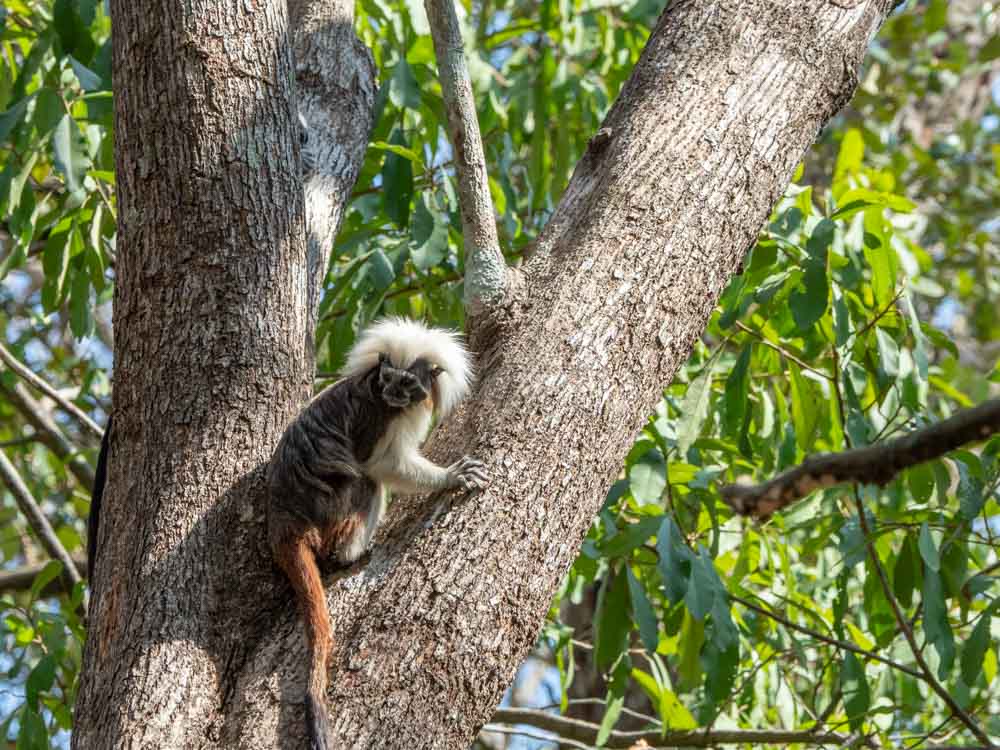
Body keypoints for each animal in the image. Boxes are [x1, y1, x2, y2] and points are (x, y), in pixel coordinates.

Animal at [266, 317, 489, 750]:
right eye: (388, 379)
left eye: (407, 383)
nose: (392, 393)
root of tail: (286, 515)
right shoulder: (384, 416)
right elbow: (381, 464)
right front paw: (451, 476)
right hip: (331, 510)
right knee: (368, 482)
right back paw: (352, 554)